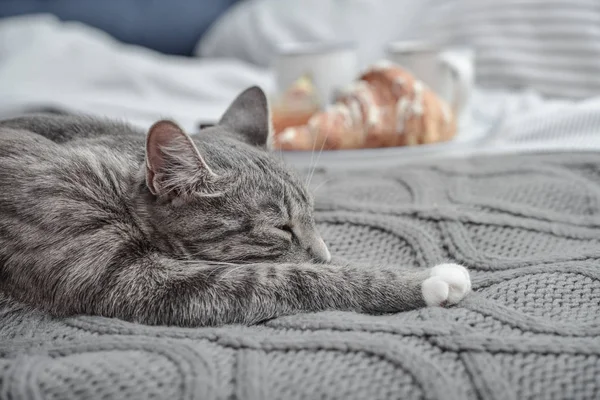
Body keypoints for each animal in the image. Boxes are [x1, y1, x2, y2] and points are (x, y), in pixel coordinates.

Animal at [0, 86, 472, 324]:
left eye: (313, 215)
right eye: (281, 228)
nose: (324, 253)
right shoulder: (125, 279)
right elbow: (293, 278)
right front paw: (422, 280)